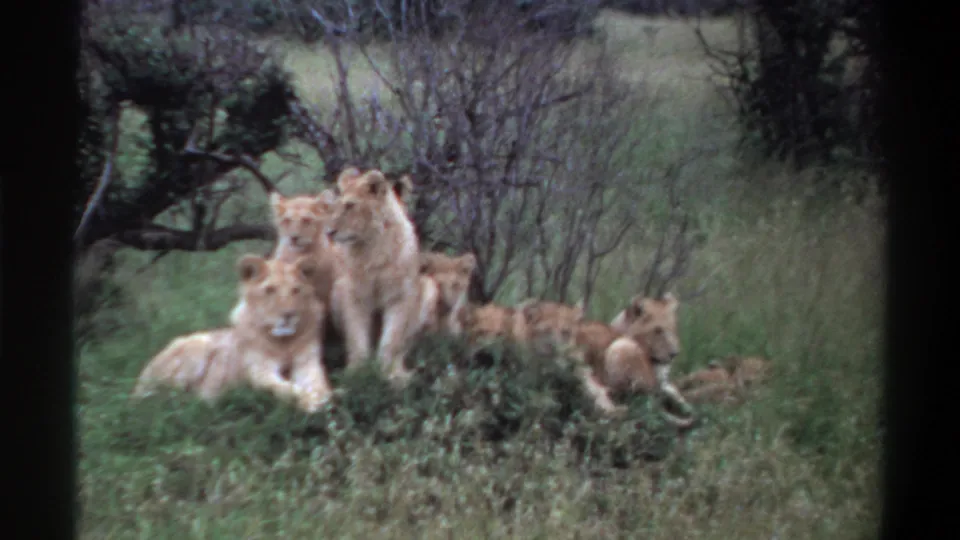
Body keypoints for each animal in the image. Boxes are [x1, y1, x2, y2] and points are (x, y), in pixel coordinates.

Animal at [131, 255, 333, 413]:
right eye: (270, 290)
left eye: (296, 290)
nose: (289, 315)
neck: (283, 342)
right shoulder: (259, 371)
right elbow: (282, 388)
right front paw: (307, 399)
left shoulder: (308, 363)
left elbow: (319, 384)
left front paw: (322, 397)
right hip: (198, 347)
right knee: (161, 399)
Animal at [324, 167, 422, 383]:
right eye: (336, 205)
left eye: (350, 205)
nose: (329, 232)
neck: (371, 247)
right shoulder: (353, 295)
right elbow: (356, 337)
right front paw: (357, 373)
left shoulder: (399, 296)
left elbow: (392, 339)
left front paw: (390, 374)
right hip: (336, 292)